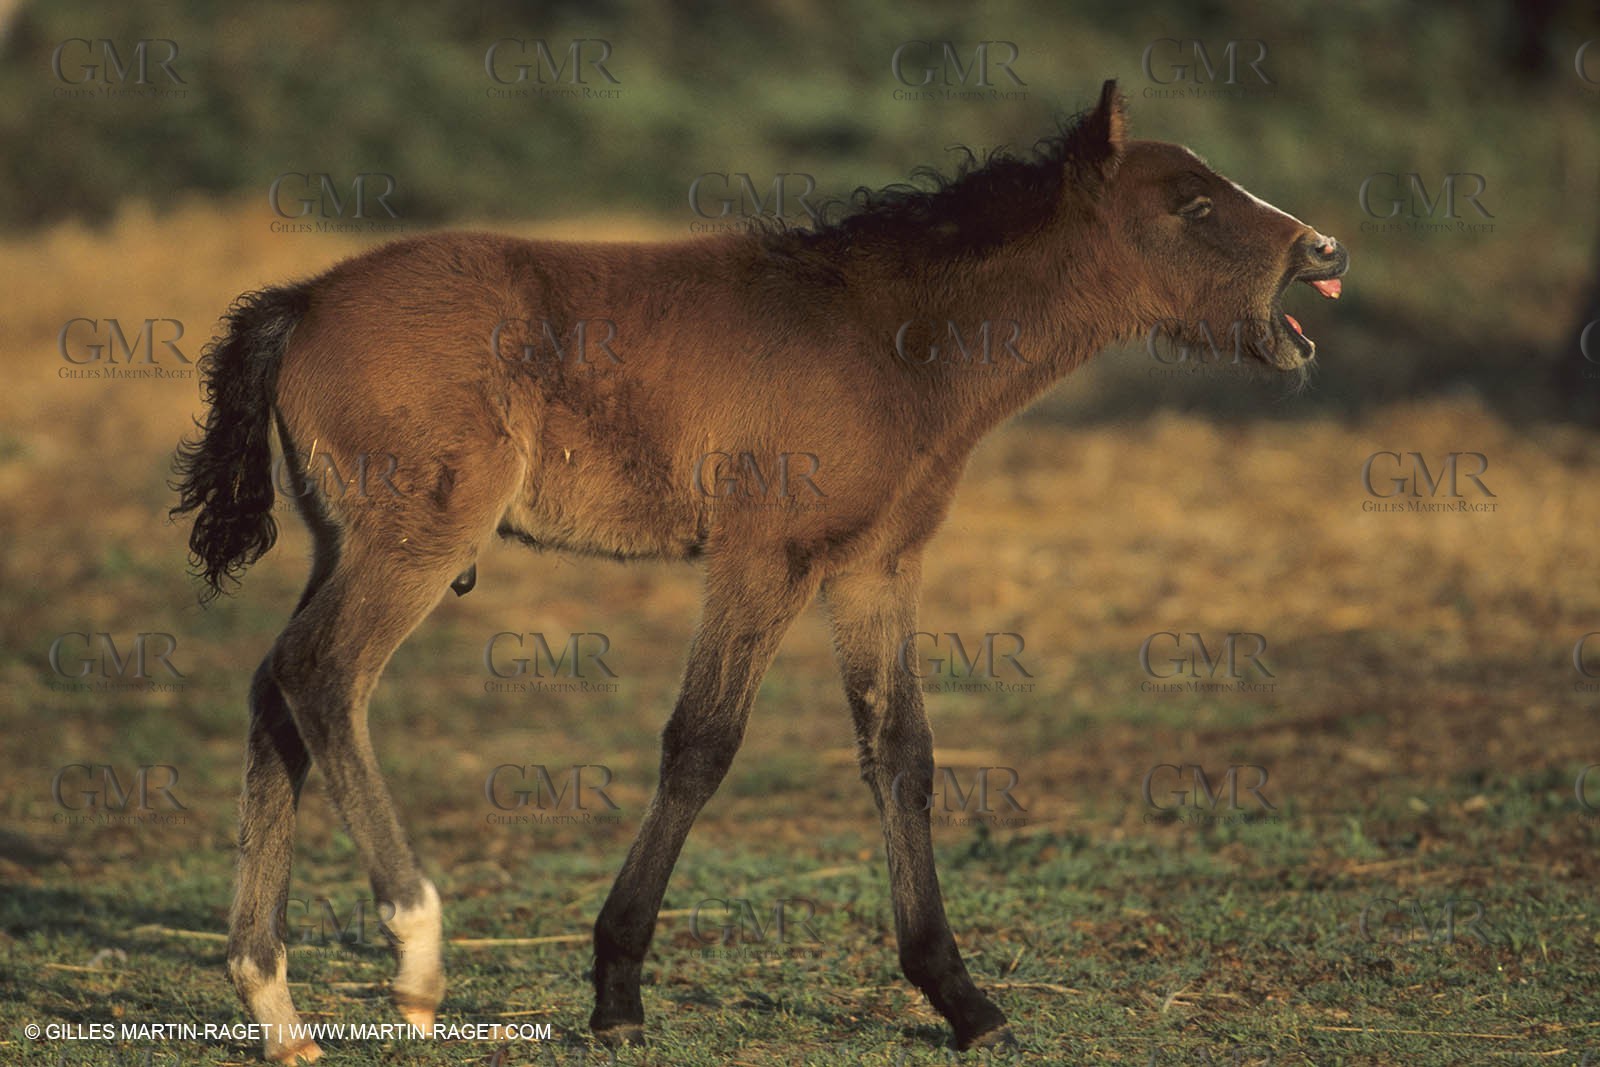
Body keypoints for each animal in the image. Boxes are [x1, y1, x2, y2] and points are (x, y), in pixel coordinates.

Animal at [171, 80, 1347, 1062]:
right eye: (1192, 203)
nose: (1324, 247)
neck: (889, 340)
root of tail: (303, 300)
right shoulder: (764, 556)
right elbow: (701, 742)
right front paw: (617, 988)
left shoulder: (875, 564)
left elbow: (900, 753)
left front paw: (961, 999)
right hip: (420, 533)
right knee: (323, 672)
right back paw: (414, 949)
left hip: (345, 538)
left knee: (273, 689)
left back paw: (273, 1003)